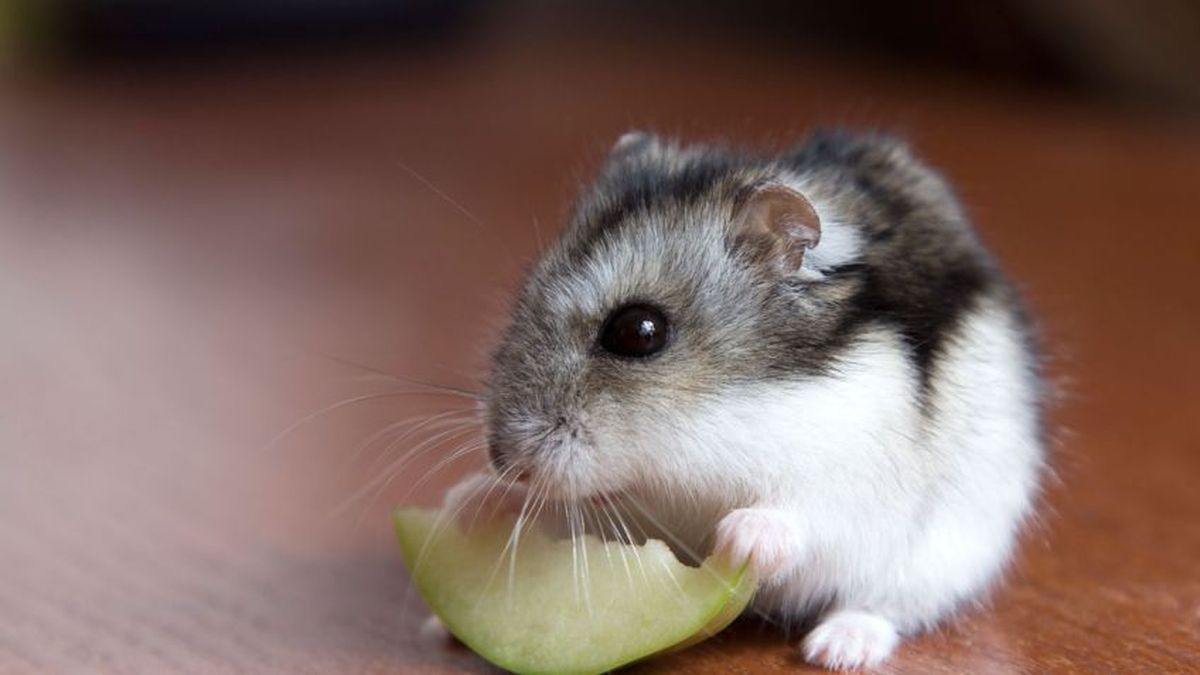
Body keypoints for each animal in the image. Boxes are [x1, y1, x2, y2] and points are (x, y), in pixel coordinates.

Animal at [443, 130, 1044, 670]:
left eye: (639, 331)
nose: (503, 461)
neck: (720, 422)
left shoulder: (849, 479)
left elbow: (803, 516)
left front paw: (738, 537)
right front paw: (471, 500)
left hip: (949, 552)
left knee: (888, 605)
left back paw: (837, 649)